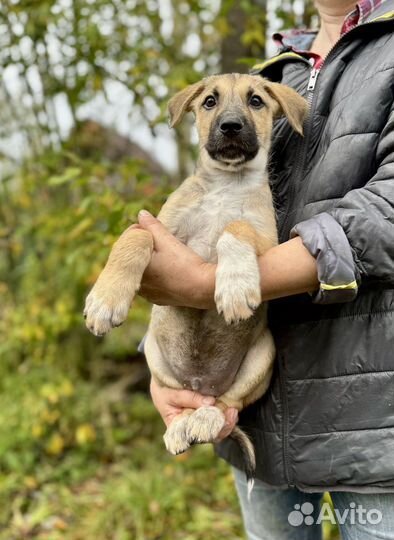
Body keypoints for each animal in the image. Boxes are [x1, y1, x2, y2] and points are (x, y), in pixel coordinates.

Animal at [84, 73, 308, 476]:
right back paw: (179, 428)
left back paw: (203, 420)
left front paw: (234, 288)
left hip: (263, 354)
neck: (225, 184)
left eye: (255, 101)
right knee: (186, 403)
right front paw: (105, 300)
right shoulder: (160, 230)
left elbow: (236, 226)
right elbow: (134, 236)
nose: (230, 126)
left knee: (225, 405)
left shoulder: (268, 241)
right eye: (209, 102)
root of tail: (202, 384)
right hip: (156, 355)